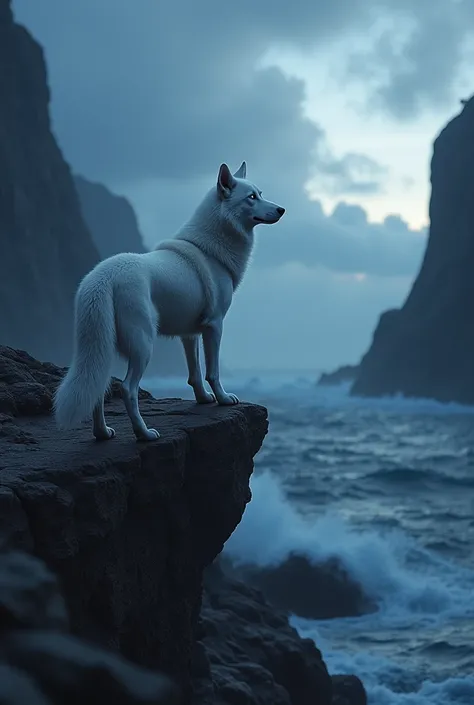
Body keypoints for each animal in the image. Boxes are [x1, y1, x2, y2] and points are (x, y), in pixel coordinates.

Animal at [55, 164, 286, 440]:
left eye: (261, 193)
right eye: (251, 197)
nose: (282, 210)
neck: (211, 248)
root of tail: (102, 277)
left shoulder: (190, 334)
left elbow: (195, 374)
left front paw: (203, 399)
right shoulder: (214, 326)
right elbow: (213, 372)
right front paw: (222, 398)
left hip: (102, 347)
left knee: (99, 387)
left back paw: (102, 433)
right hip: (143, 345)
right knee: (127, 389)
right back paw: (143, 433)